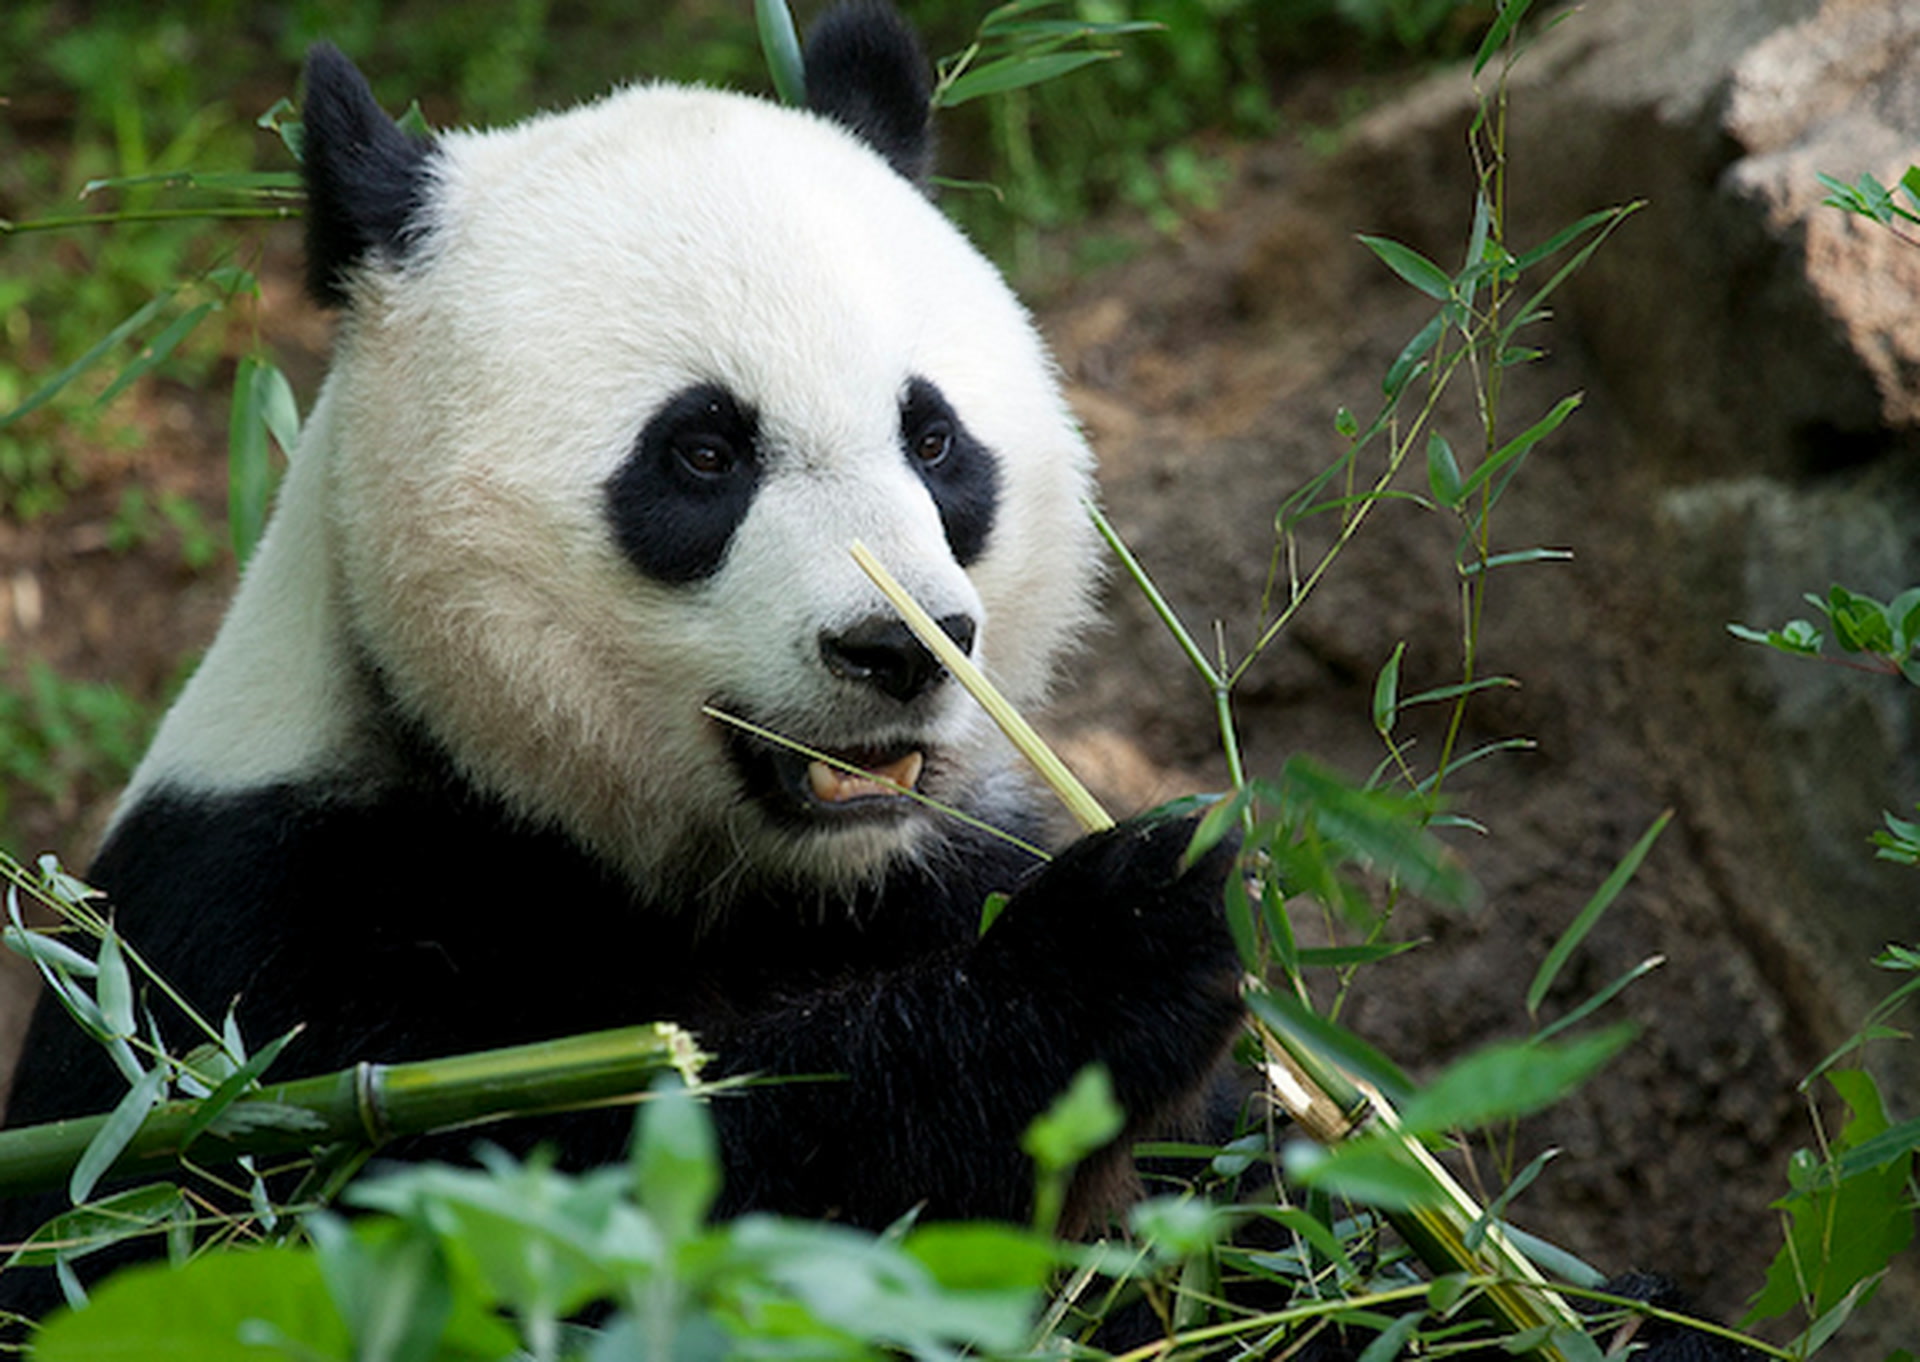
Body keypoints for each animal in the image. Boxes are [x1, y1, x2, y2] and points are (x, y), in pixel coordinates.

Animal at [0, 0, 1244, 1313]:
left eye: (933, 439)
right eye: (703, 452)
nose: (901, 646)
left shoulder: (939, 866)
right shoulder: (241, 956)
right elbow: (537, 1195)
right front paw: (1120, 944)